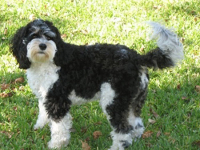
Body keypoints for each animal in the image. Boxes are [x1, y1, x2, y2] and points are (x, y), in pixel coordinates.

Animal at [10, 19, 183, 149]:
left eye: (49, 37)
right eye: (33, 35)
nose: (43, 45)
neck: (47, 61)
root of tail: (136, 57)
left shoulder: (57, 101)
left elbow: (59, 127)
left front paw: (57, 144)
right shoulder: (44, 97)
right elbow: (43, 114)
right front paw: (40, 127)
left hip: (113, 102)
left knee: (123, 130)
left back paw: (117, 146)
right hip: (133, 100)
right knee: (136, 125)